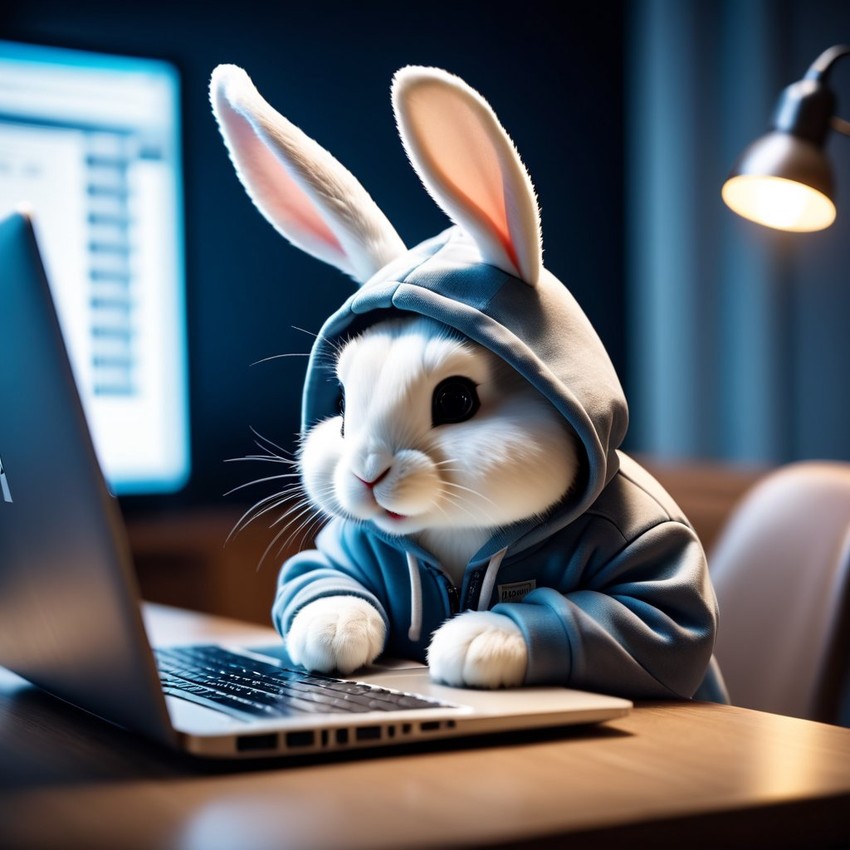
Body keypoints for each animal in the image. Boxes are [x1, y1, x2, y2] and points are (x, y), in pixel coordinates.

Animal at [209, 64, 724, 704]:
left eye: (456, 400)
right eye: (343, 408)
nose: (367, 473)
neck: (461, 533)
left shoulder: (657, 570)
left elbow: (640, 623)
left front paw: (472, 641)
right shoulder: (346, 549)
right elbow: (315, 579)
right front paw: (332, 633)